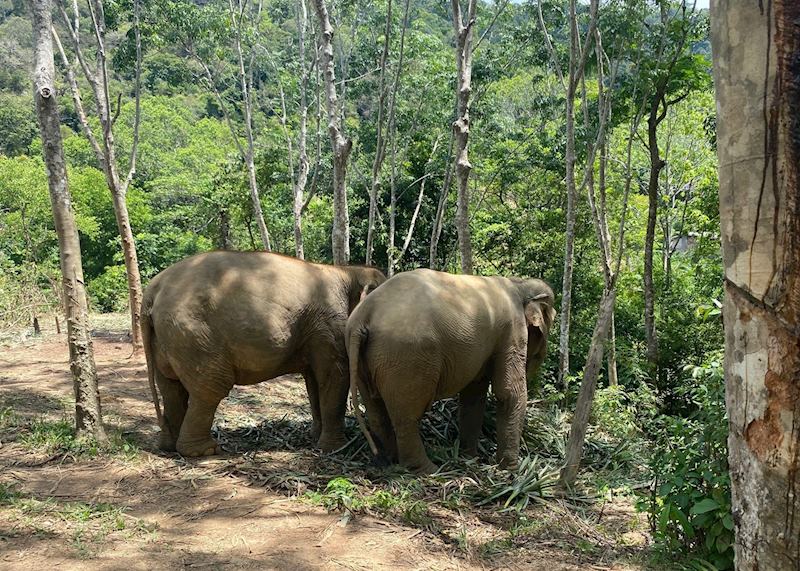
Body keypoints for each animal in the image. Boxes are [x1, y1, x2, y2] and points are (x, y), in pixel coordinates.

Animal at [141, 251, 386, 457]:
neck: (350, 271)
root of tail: (152, 292)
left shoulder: (316, 331)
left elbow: (314, 381)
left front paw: (315, 438)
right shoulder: (330, 321)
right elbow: (334, 375)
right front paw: (336, 449)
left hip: (169, 339)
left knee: (171, 388)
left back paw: (168, 447)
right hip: (193, 335)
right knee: (212, 387)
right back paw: (205, 451)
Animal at [346, 268, 556, 474]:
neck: (519, 283)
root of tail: (364, 315)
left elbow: (473, 393)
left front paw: (469, 458)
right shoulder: (511, 329)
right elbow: (508, 392)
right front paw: (512, 471)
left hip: (366, 358)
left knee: (376, 410)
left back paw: (387, 462)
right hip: (405, 358)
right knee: (407, 416)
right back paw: (428, 469)